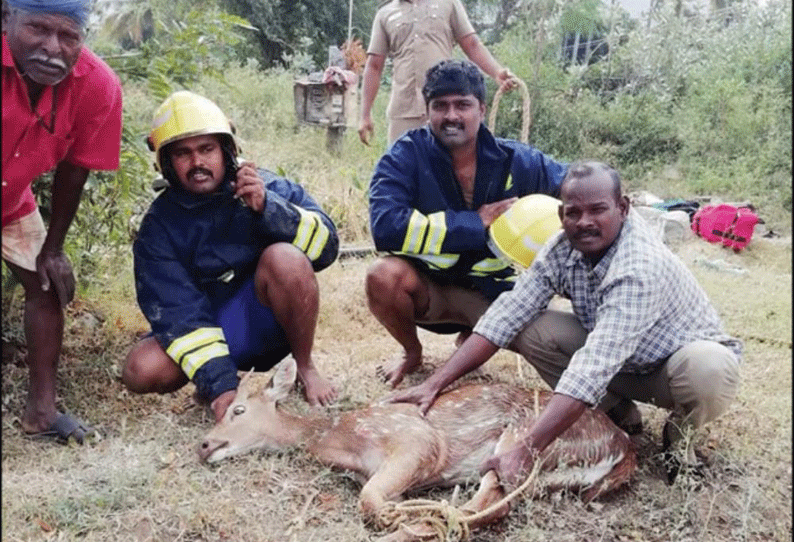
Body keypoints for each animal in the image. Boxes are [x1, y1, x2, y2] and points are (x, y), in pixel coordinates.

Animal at [200, 362, 636, 542]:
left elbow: (369, 502)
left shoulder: (417, 441)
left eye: (238, 410)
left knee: (484, 506)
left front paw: (398, 516)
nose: (204, 444)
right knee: (490, 507)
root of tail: (620, 445)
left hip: (520, 442)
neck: (342, 438)